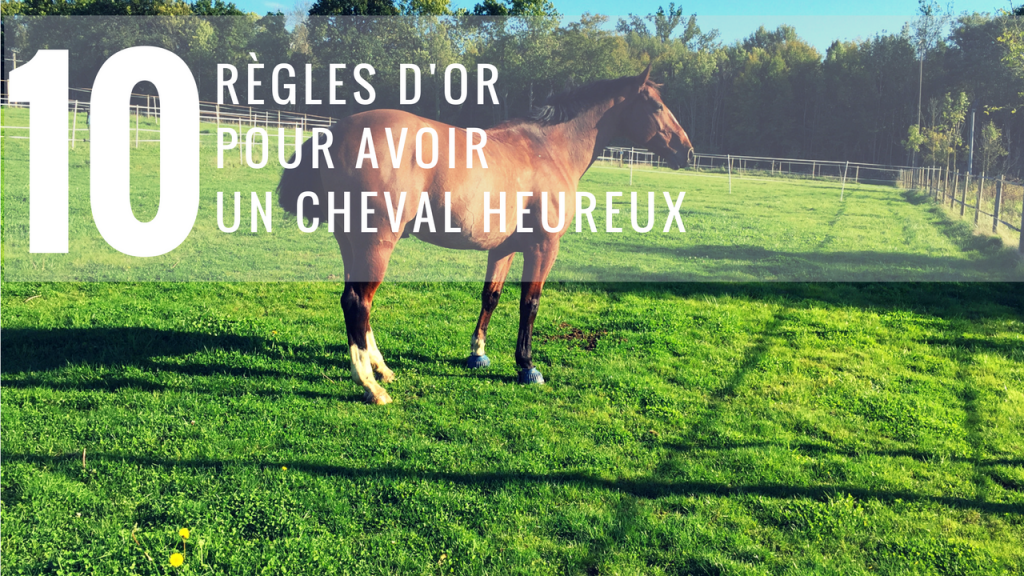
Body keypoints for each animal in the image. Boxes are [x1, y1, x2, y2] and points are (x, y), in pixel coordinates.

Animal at [277, 64, 693, 404]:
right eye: (657, 106)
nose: (687, 152)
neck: (548, 149)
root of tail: (336, 132)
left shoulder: (504, 248)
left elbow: (490, 296)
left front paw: (478, 353)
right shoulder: (544, 247)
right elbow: (530, 303)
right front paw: (527, 365)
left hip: (351, 243)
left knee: (355, 305)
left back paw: (381, 369)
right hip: (376, 244)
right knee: (357, 303)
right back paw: (370, 385)